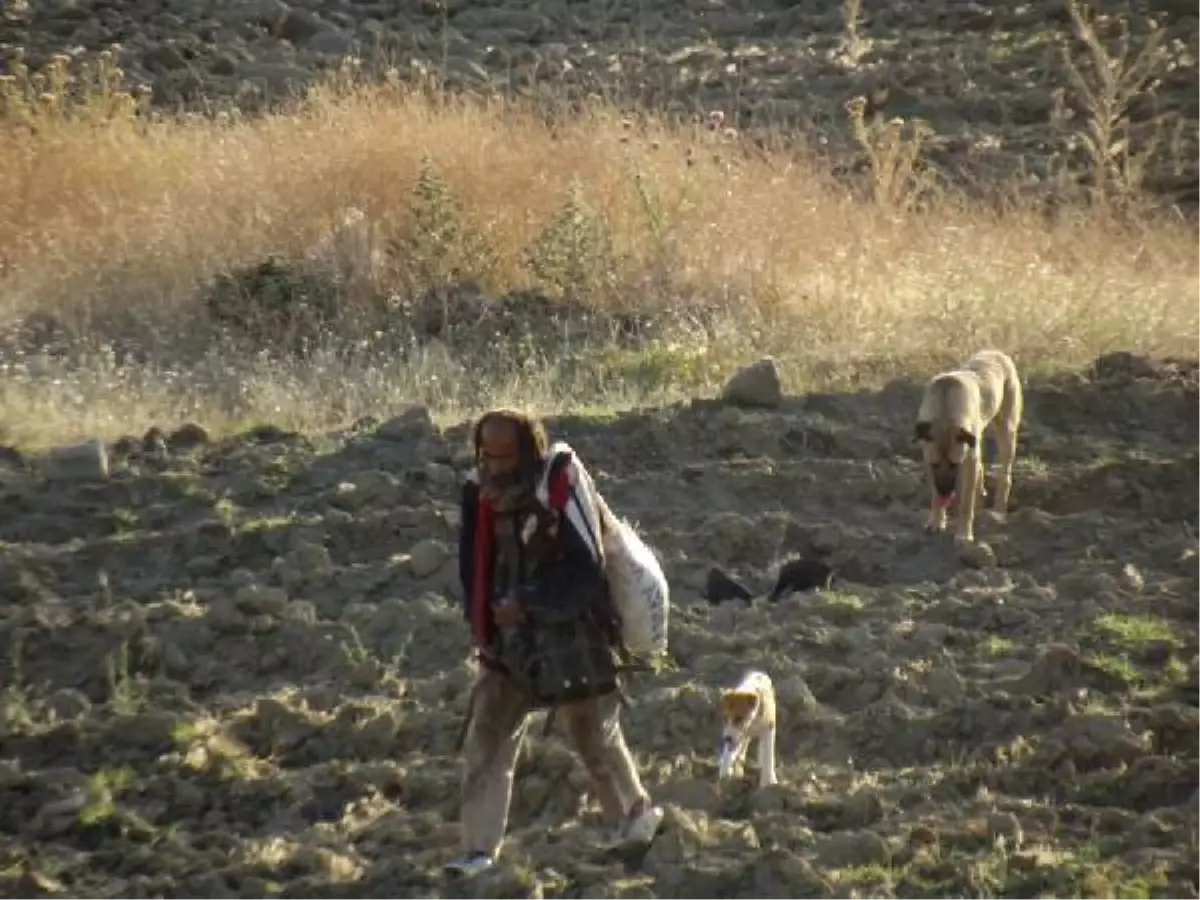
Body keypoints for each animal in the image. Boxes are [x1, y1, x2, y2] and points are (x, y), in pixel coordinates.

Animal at [916, 352, 1022, 547]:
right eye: (935, 465)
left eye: (954, 465)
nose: (945, 494)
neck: (944, 411)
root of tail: (997, 353)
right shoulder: (928, 458)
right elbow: (934, 493)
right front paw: (936, 521)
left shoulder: (967, 460)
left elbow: (966, 503)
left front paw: (963, 534)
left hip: (1007, 431)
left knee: (1004, 475)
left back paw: (998, 512)